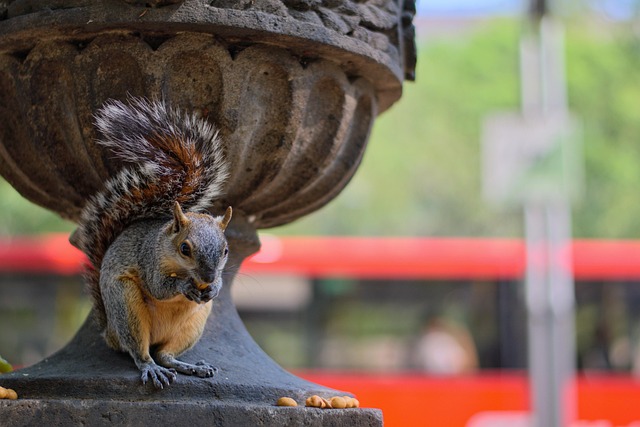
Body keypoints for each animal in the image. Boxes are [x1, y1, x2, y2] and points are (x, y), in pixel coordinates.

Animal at [71, 97, 232, 389]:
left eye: (225, 250)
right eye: (184, 248)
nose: (209, 277)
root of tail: (110, 332)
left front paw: (215, 287)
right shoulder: (149, 260)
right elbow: (158, 286)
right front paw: (183, 286)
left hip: (193, 324)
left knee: (166, 355)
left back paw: (192, 366)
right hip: (126, 305)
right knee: (142, 352)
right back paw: (151, 368)